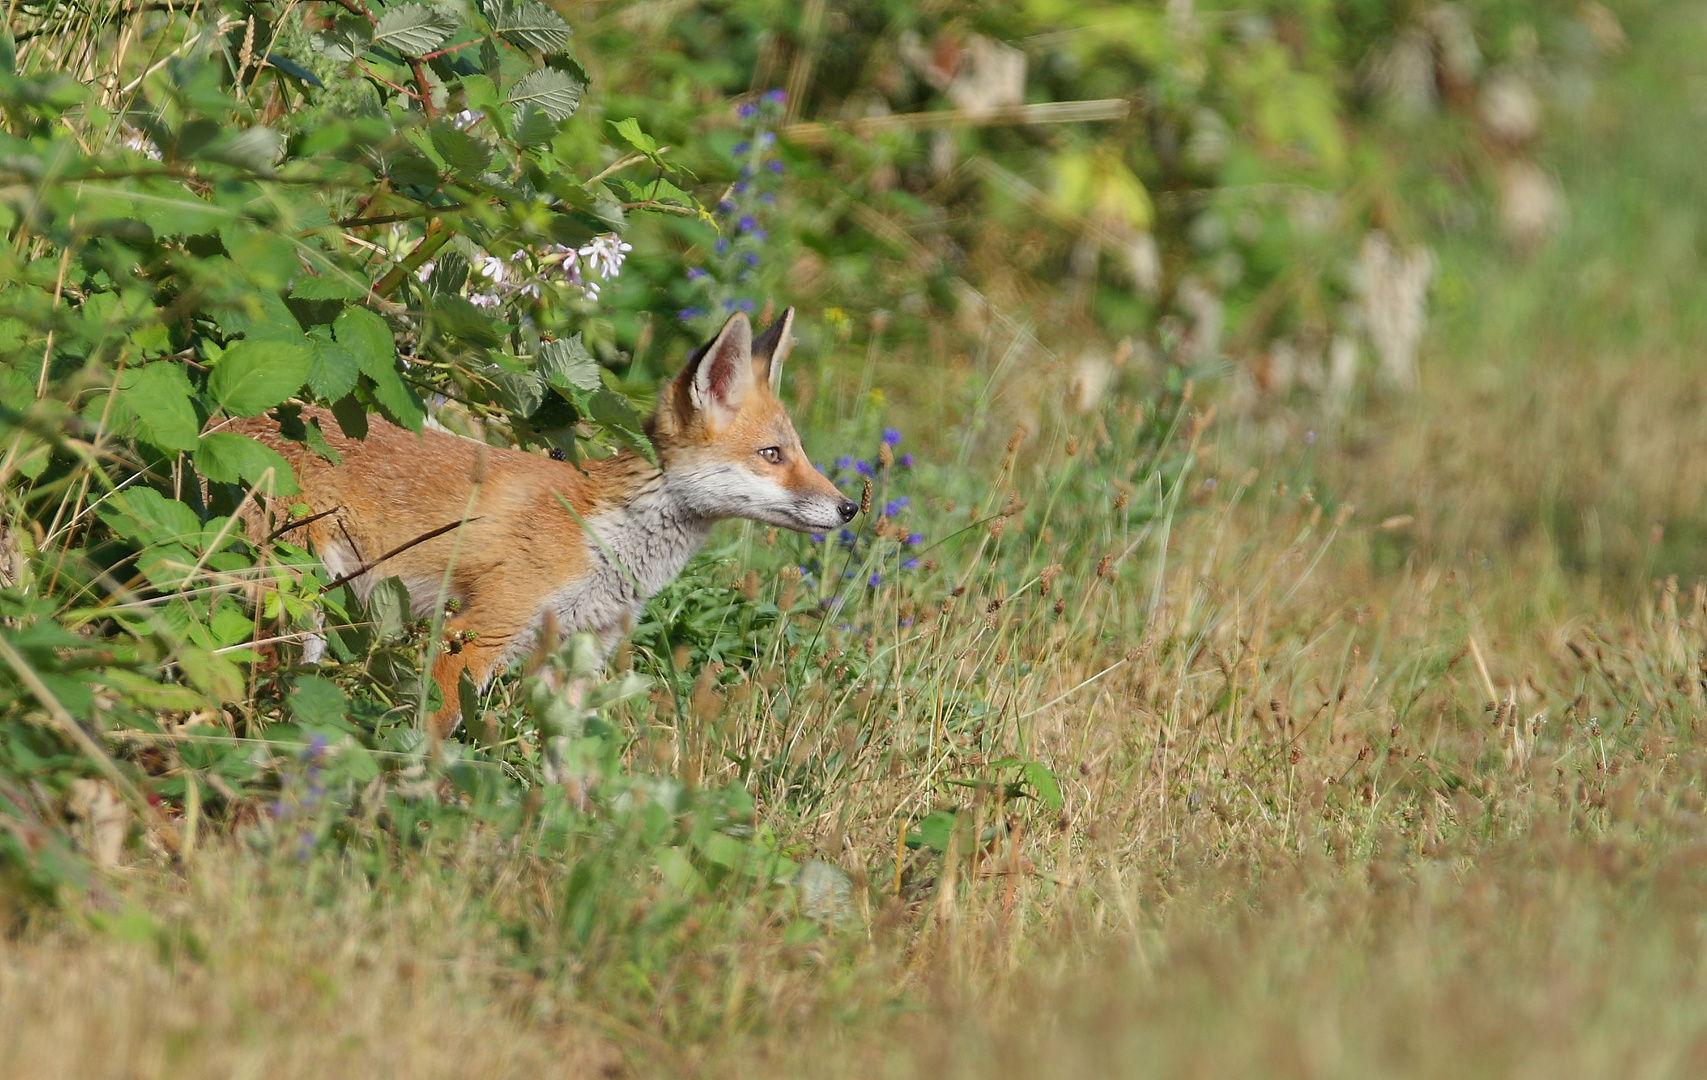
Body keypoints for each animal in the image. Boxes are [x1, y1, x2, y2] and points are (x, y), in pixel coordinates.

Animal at [237, 307, 853, 737]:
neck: (604, 538)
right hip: (295, 608)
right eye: (772, 455)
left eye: (800, 452)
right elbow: (434, 734)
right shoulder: (475, 634)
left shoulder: (577, 655)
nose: (850, 508)